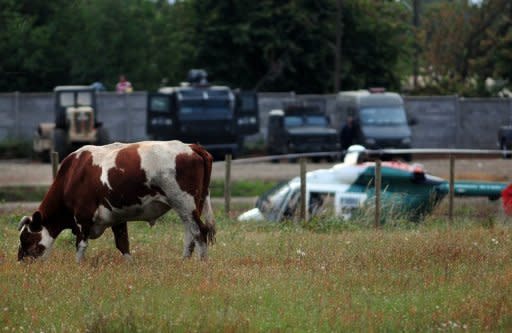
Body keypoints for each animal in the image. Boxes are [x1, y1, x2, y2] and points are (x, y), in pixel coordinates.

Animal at [17, 140, 215, 262]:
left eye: (25, 238)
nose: (21, 261)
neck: (73, 174)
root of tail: (191, 147)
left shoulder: (82, 217)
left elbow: (80, 246)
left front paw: (78, 267)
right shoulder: (117, 218)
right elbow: (123, 244)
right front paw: (131, 266)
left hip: (184, 202)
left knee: (199, 231)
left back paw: (201, 264)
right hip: (190, 206)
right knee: (190, 233)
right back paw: (184, 261)